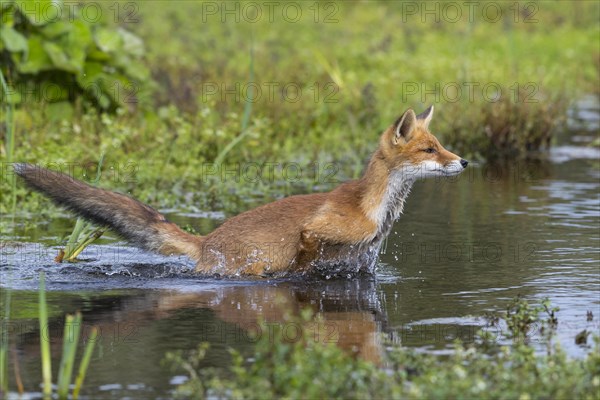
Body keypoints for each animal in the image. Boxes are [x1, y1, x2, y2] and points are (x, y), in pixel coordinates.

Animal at [12, 104, 464, 276]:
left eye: (440, 145)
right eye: (429, 150)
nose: (463, 162)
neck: (376, 209)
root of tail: (206, 240)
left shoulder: (359, 261)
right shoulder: (316, 232)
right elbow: (302, 259)